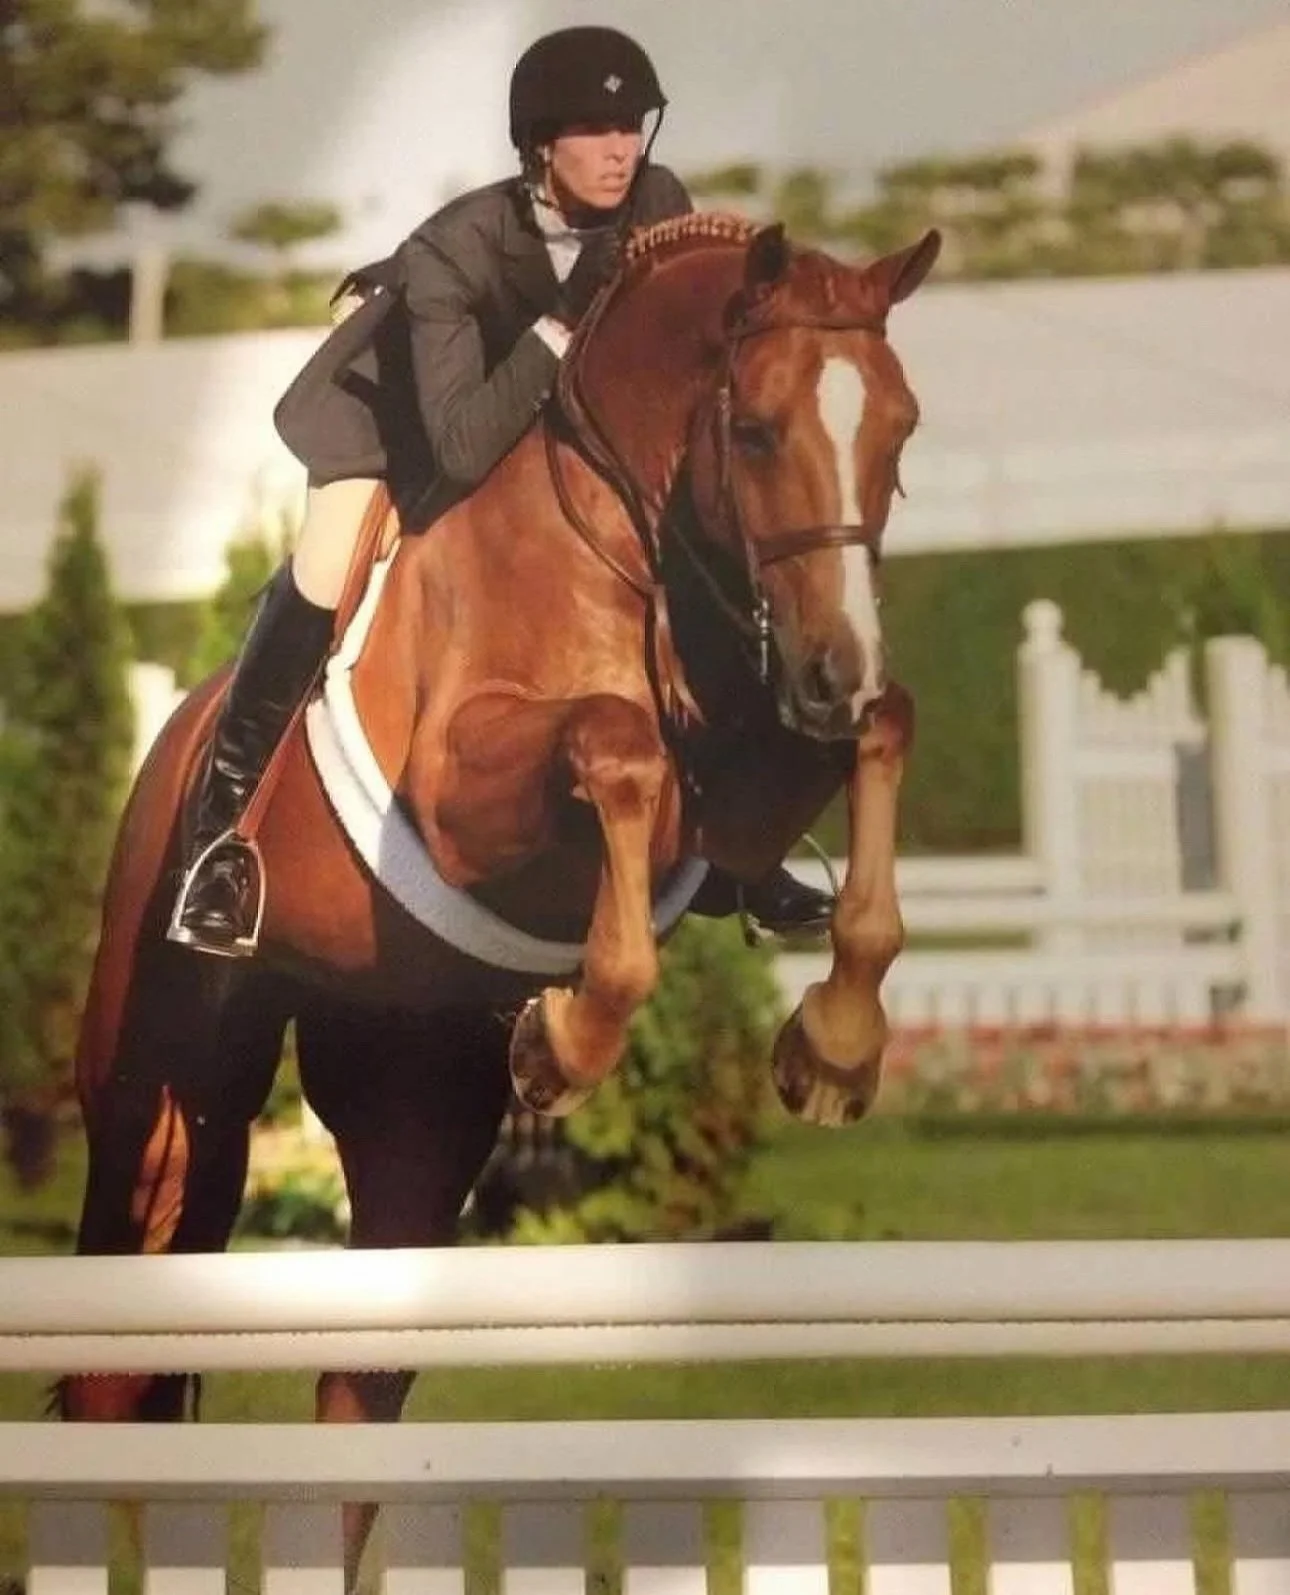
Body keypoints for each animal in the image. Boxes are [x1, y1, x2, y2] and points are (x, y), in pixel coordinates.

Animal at [60, 212, 938, 1570]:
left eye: (899, 431)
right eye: (755, 430)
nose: (832, 667)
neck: (628, 531)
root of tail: (174, 746)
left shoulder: (746, 765)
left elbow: (877, 733)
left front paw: (834, 1048)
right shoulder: (469, 794)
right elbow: (615, 748)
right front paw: (567, 1039)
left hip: (409, 1097)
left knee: (358, 1385)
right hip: (161, 1091)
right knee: (118, 1347)